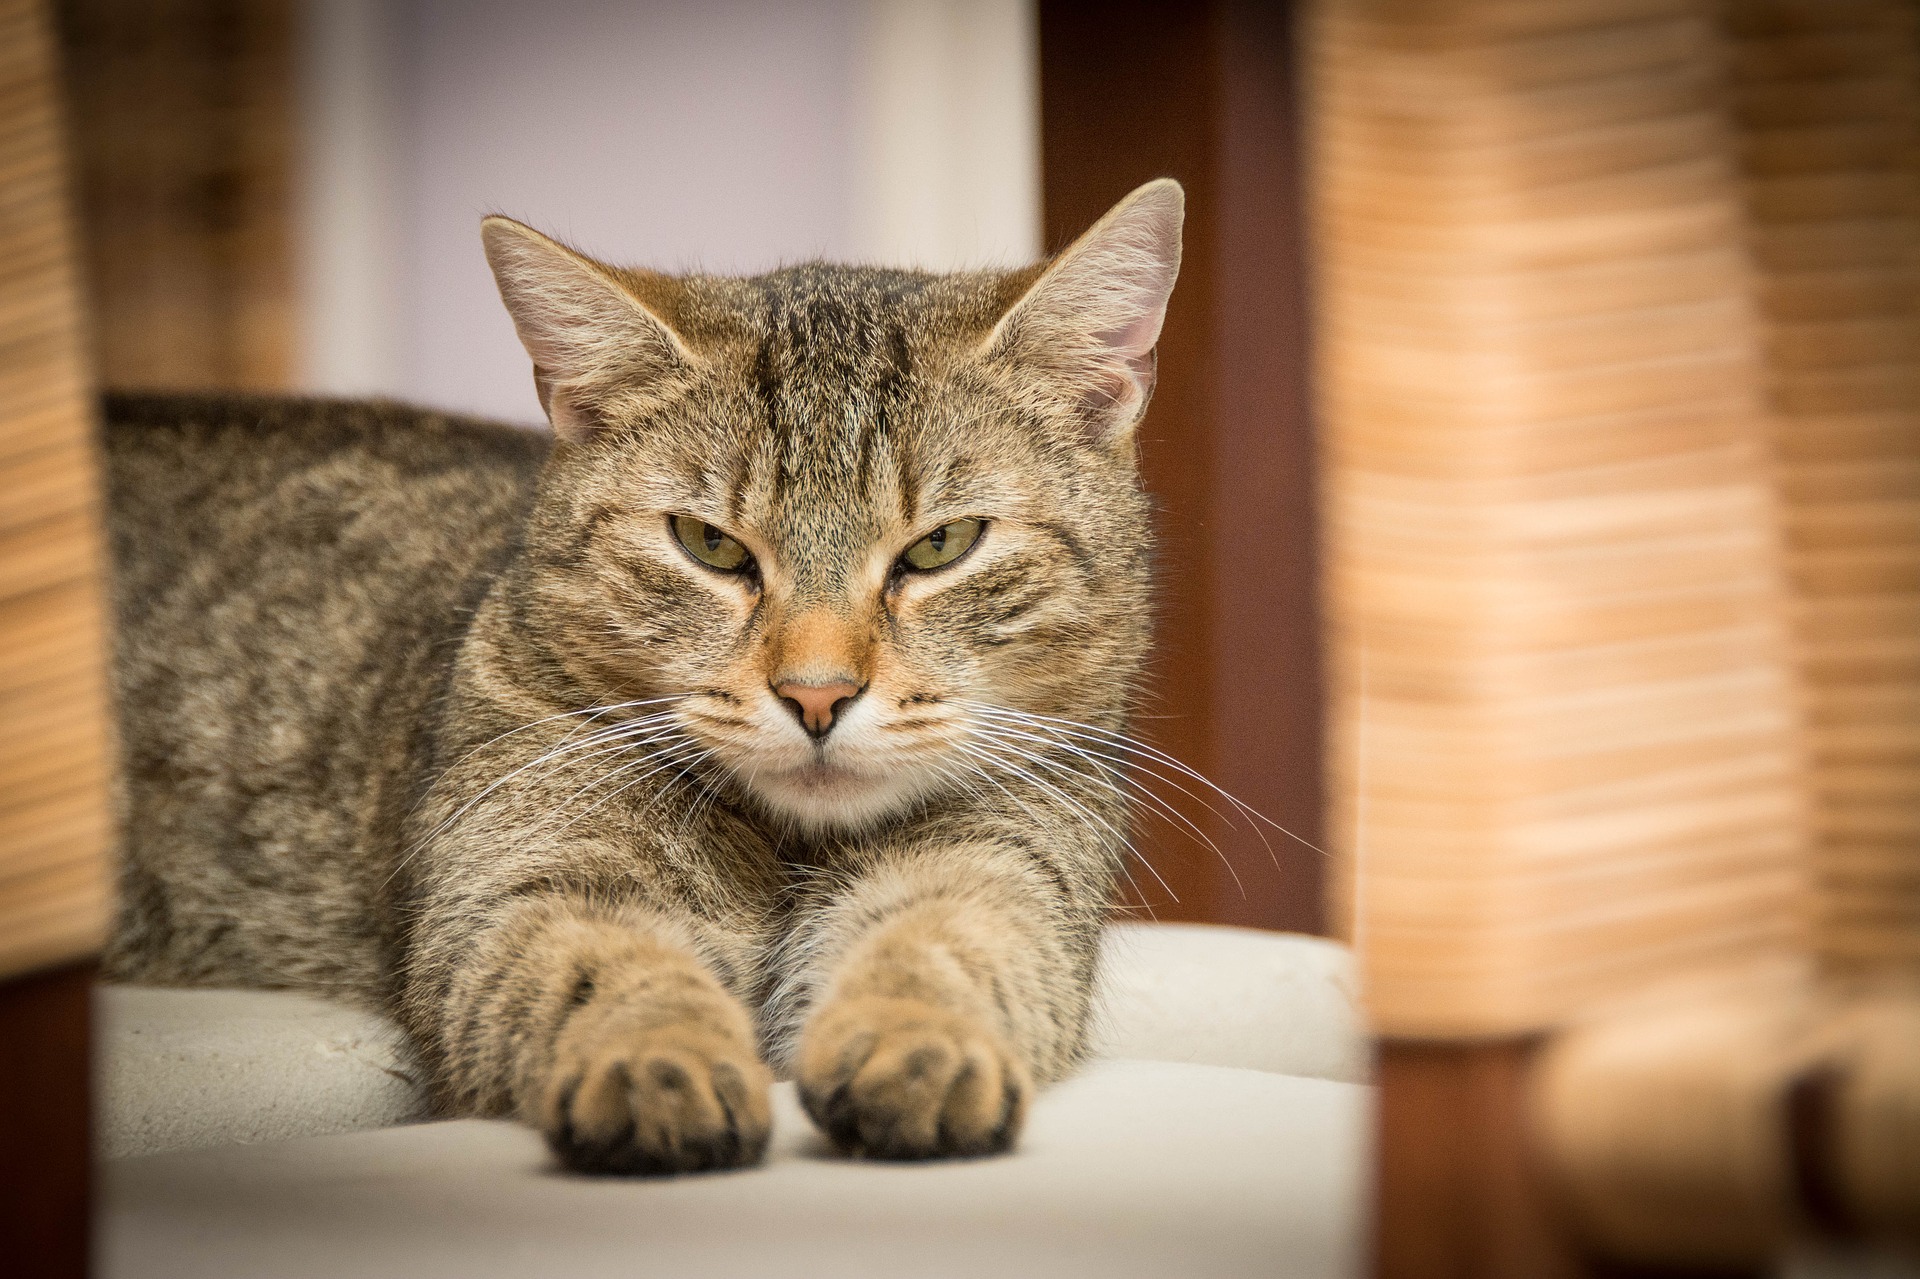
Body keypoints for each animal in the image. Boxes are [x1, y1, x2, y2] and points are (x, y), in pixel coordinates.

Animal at [105, 179, 1182, 1175]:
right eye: (710, 545)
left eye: (941, 546)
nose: (817, 694)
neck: (786, 846)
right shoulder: (525, 881)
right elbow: (611, 965)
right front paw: (658, 1062)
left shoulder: (1007, 863)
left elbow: (942, 942)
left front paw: (920, 1044)